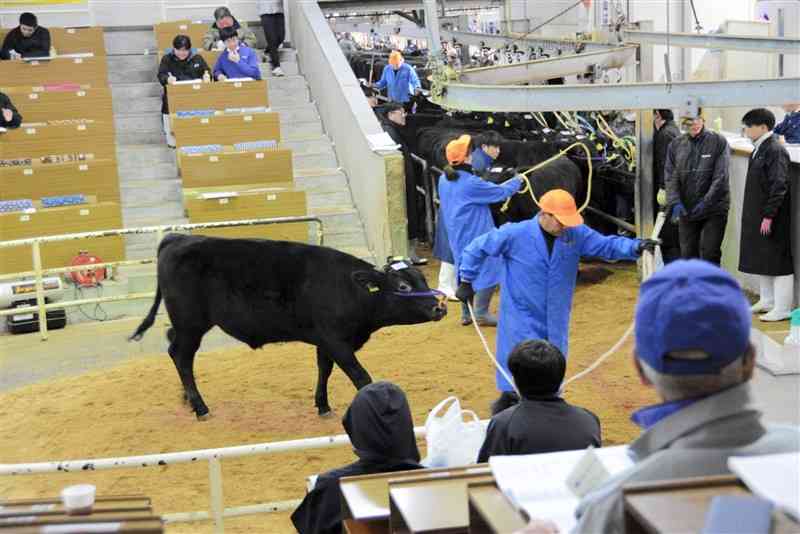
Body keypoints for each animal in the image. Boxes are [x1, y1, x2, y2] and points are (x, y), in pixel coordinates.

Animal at [128, 237, 446, 420]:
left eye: (422, 280)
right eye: (403, 286)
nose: (439, 307)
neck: (346, 287)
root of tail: (177, 237)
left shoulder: (326, 340)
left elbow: (324, 369)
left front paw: (322, 405)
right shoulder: (336, 340)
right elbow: (360, 376)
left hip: (187, 324)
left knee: (174, 346)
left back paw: (186, 398)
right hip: (191, 323)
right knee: (181, 356)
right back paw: (200, 407)